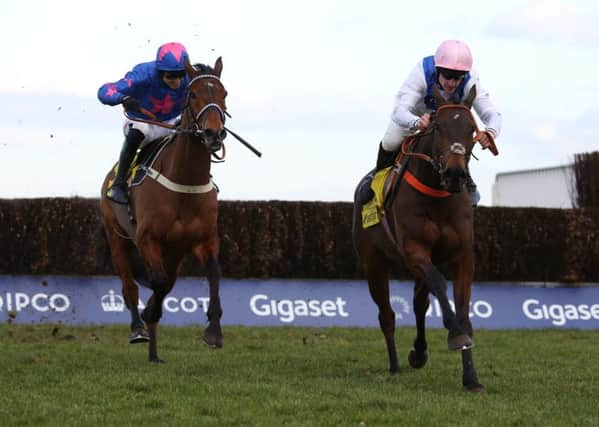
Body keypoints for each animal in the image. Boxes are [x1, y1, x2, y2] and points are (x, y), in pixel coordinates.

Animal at [101, 57, 227, 364]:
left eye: (224, 94)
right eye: (193, 95)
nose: (213, 133)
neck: (184, 182)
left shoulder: (205, 240)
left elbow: (213, 276)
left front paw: (213, 332)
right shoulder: (147, 239)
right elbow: (155, 283)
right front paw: (148, 313)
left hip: (174, 252)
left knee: (165, 283)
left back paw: (154, 354)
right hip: (117, 237)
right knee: (129, 285)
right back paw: (138, 329)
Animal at [354, 86, 490, 392]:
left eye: (472, 129)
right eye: (438, 126)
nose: (455, 173)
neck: (437, 194)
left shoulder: (463, 255)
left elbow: (461, 307)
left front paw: (471, 377)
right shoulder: (414, 250)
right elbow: (439, 284)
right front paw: (456, 334)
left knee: (419, 304)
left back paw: (418, 353)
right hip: (374, 264)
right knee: (387, 315)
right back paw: (394, 365)